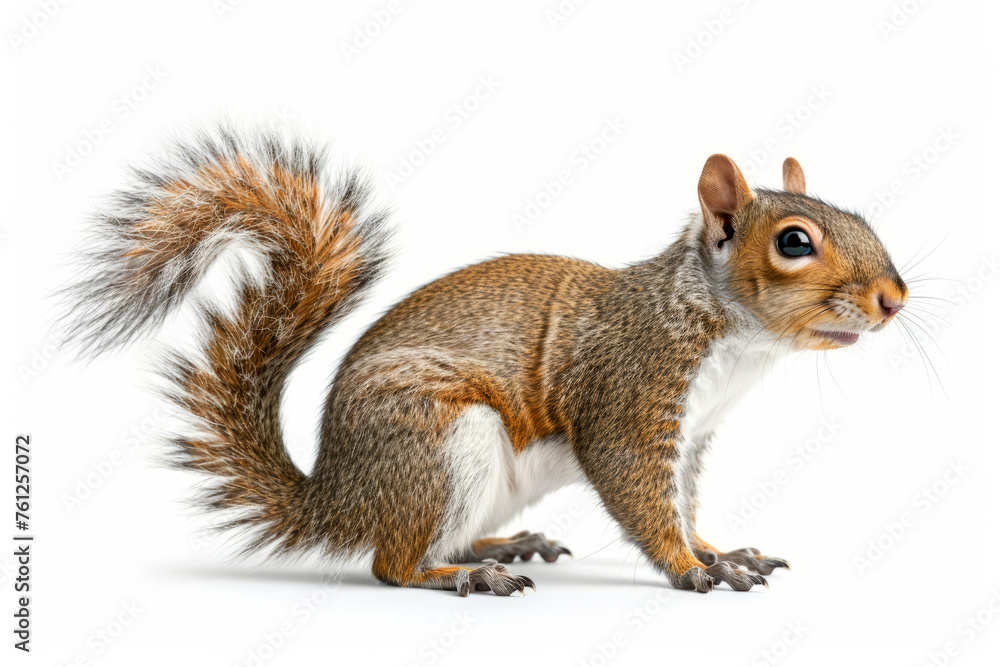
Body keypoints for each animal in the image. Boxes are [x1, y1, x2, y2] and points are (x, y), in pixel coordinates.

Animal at [63, 127, 908, 596]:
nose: (894, 299)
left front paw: (718, 548)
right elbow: (641, 494)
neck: (728, 337)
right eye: (794, 241)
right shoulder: (632, 396)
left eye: (859, 215)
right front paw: (694, 567)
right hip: (440, 444)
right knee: (394, 563)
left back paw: (499, 545)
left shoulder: (691, 435)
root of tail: (336, 498)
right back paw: (467, 573)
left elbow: (685, 502)